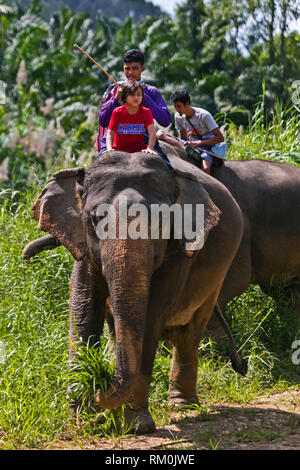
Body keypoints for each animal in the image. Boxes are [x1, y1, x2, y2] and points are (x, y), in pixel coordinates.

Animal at [27, 149, 245, 432]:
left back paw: (184, 406)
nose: (102, 387)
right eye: (94, 219)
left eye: (162, 221)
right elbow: (84, 304)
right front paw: (81, 418)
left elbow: (151, 314)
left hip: (215, 279)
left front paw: (134, 425)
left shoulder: (179, 250)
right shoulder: (83, 247)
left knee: (190, 332)